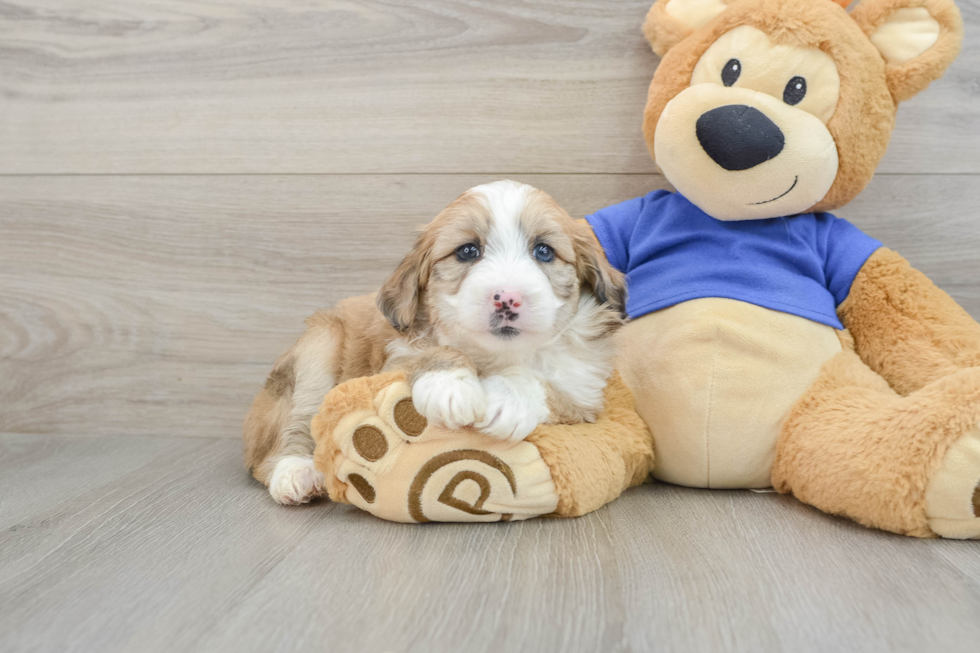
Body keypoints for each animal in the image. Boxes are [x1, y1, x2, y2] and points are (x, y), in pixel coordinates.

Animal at [245, 178, 628, 504]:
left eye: (544, 252)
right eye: (468, 251)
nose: (507, 298)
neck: (496, 356)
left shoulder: (583, 392)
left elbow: (545, 384)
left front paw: (507, 399)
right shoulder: (392, 358)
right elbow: (431, 353)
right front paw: (449, 385)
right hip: (318, 347)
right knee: (287, 433)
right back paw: (296, 471)